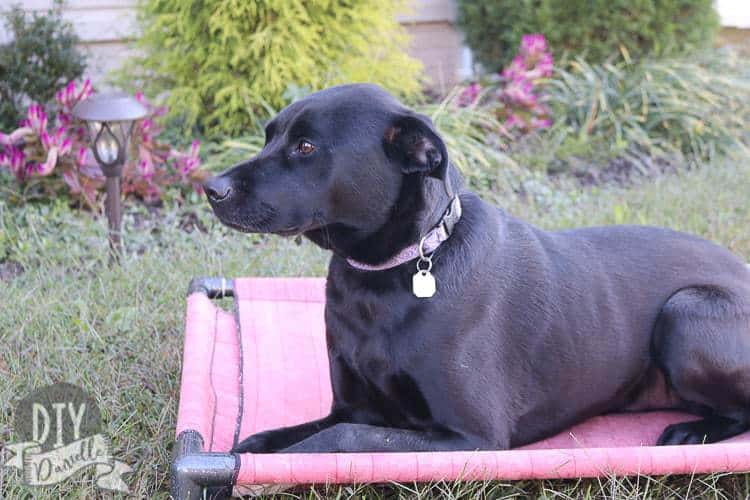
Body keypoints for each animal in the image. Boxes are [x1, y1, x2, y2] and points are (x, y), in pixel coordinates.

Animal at [203, 83, 750, 454]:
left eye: (307, 147)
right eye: (269, 137)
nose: (211, 188)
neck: (390, 274)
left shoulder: (471, 435)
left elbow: (340, 438)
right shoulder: (354, 404)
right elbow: (276, 436)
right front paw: (248, 450)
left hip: (687, 311)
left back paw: (694, 431)